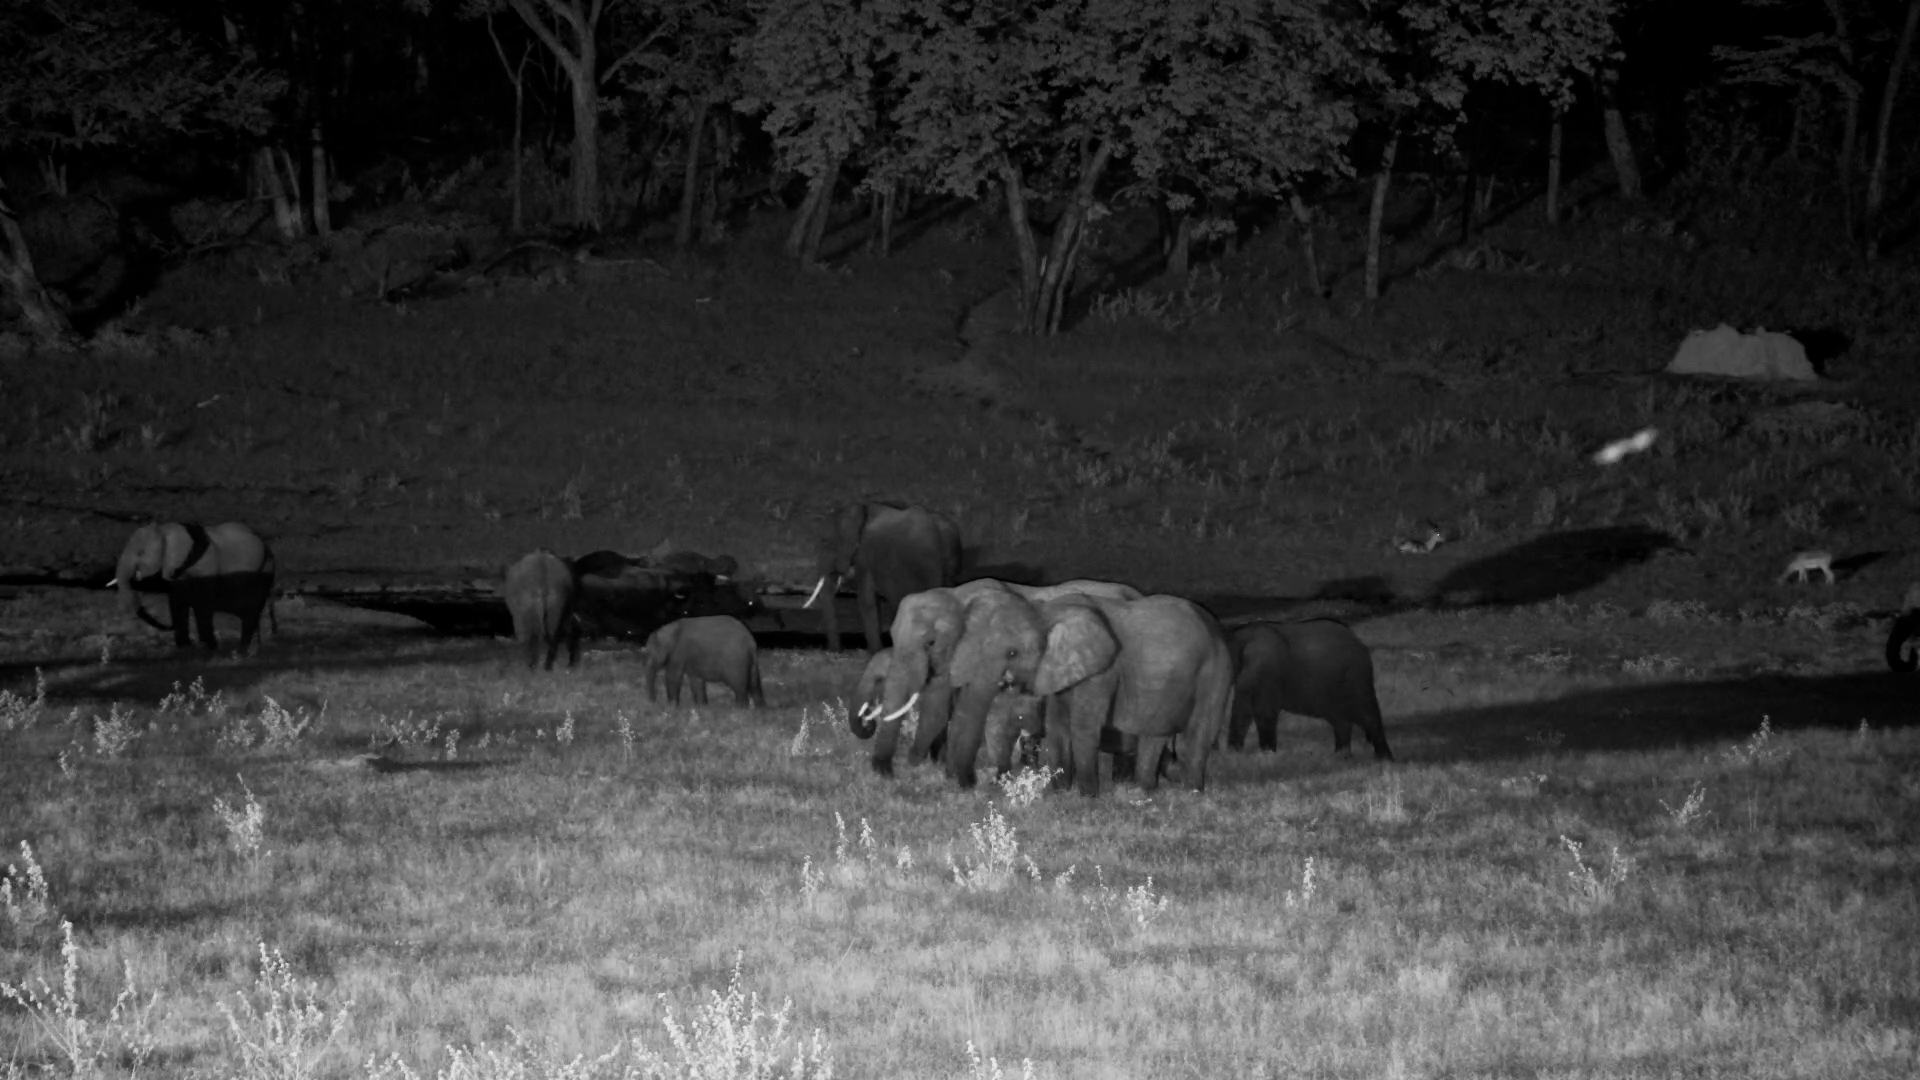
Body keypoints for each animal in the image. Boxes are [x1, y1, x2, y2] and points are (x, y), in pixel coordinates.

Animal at [109, 521, 275, 653]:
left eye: (141, 552)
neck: (166, 529)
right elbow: (177, 601)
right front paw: (185, 649)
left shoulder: (206, 565)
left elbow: (202, 604)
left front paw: (208, 648)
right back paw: (254, 646)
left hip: (264, 570)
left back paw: (247, 649)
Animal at [805, 502, 962, 654]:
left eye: (825, 542)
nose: (836, 652)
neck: (861, 510)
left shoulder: (864, 557)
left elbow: (866, 600)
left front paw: (875, 653)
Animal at [1226, 620, 1394, 760]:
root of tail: (1359, 642)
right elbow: (1241, 711)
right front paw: (1233, 755)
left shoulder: (1267, 672)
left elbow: (1264, 712)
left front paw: (1268, 756)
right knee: (1341, 720)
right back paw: (1341, 757)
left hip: (1357, 677)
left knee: (1367, 715)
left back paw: (1384, 759)